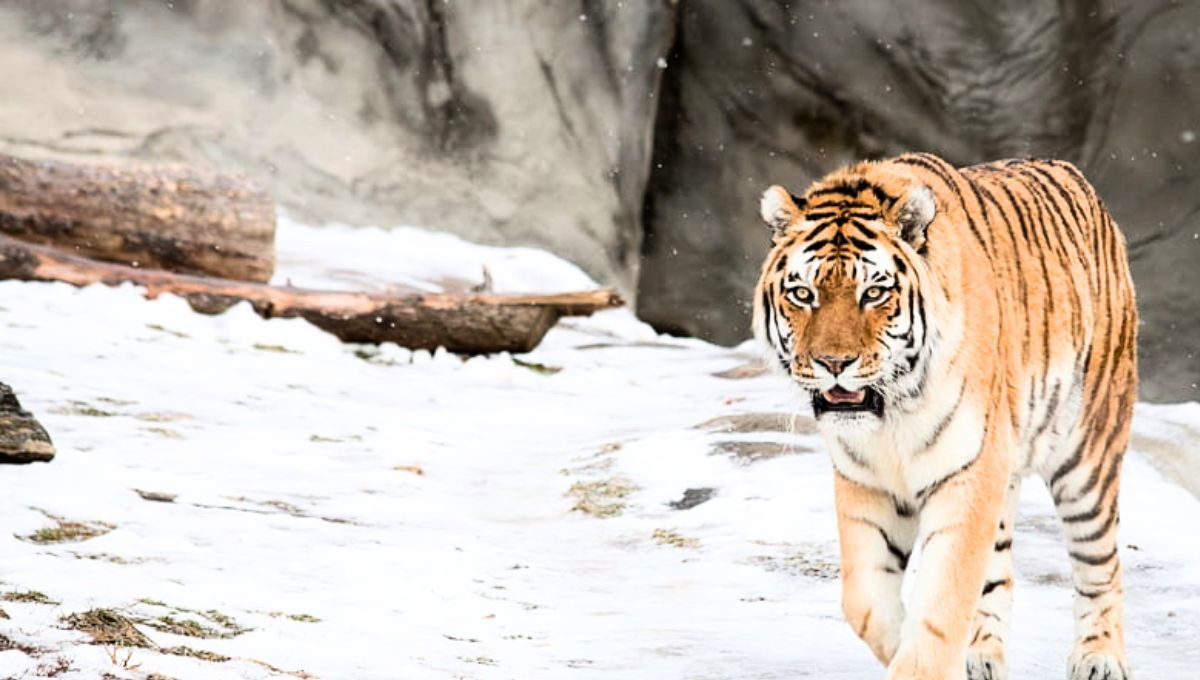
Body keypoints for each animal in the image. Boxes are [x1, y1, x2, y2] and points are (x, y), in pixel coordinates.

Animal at [753, 152, 1137, 680]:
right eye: (804, 295)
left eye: (873, 294)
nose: (834, 363)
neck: (889, 415)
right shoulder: (865, 481)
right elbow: (865, 600)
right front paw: (907, 645)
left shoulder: (967, 475)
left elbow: (941, 602)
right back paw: (981, 654)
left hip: (1086, 456)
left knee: (1101, 562)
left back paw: (1099, 657)